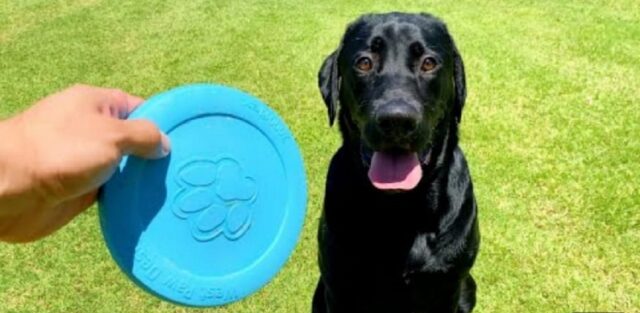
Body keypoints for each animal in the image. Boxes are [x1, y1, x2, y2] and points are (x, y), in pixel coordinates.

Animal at [312, 12, 478, 312]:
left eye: (429, 62)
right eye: (364, 62)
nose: (397, 120)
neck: (401, 211)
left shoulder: (448, 287)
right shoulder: (339, 287)